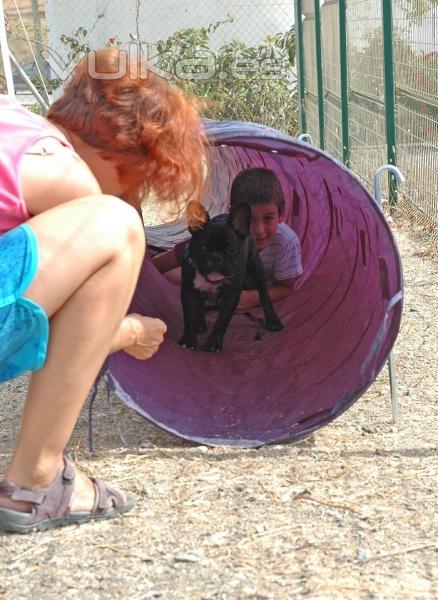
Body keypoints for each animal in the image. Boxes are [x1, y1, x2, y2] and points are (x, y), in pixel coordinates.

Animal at [179, 202, 284, 352]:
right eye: (203, 247)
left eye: (231, 249)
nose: (216, 257)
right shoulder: (189, 292)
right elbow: (189, 316)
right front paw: (188, 340)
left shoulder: (230, 296)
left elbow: (222, 320)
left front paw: (214, 343)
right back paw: (200, 324)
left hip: (256, 267)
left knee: (264, 294)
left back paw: (272, 320)